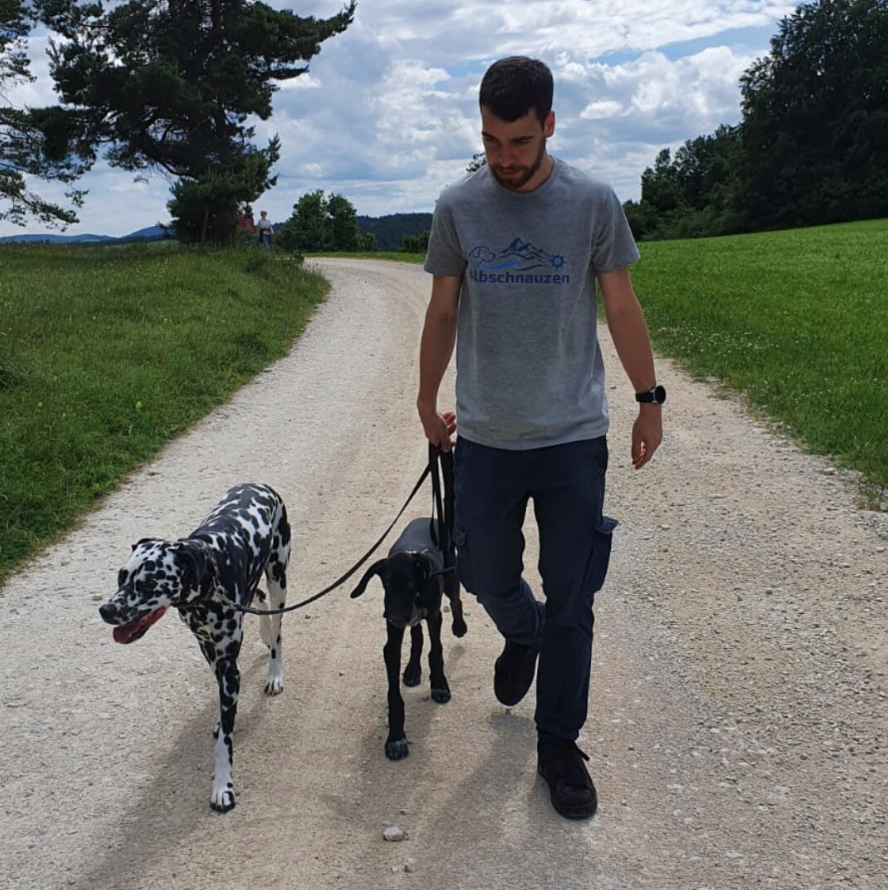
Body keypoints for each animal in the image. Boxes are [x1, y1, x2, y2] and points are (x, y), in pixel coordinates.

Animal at [98, 483, 291, 813]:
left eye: (148, 585)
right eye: (121, 576)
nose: (106, 610)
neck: (210, 570)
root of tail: (262, 486)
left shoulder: (228, 663)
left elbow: (224, 742)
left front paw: (222, 787)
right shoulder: (207, 647)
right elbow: (222, 707)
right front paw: (221, 718)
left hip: (279, 578)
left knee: (277, 630)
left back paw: (274, 672)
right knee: (259, 599)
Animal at [350, 515, 467, 760]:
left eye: (410, 583)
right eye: (386, 583)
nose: (394, 616)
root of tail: (427, 518)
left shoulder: (434, 616)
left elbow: (436, 652)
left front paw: (439, 685)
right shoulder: (393, 637)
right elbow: (394, 695)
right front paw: (396, 738)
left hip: (451, 574)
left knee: (456, 599)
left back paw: (460, 626)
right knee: (417, 636)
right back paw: (413, 670)